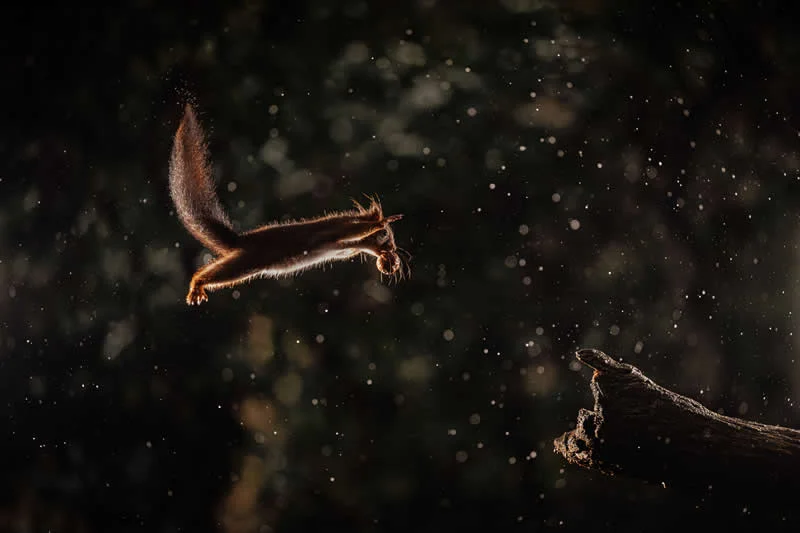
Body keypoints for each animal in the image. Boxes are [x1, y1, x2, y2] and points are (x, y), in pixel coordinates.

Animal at [169, 104, 406, 305]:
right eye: (387, 237)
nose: (393, 250)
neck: (357, 245)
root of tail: (240, 240)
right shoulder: (334, 233)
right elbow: (350, 227)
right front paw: (379, 221)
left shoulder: (347, 247)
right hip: (247, 262)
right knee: (216, 272)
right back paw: (197, 284)